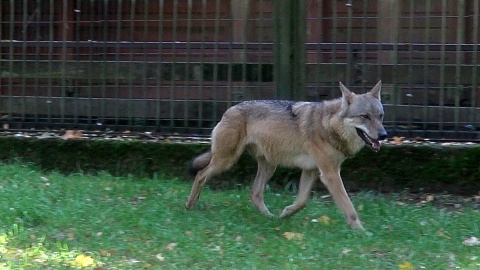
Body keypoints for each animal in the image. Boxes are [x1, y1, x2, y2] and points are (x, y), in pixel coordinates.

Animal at [185, 81, 386, 229]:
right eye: (365, 116)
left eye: (380, 116)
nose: (384, 135)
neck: (329, 125)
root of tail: (228, 110)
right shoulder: (330, 174)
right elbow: (349, 207)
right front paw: (361, 232)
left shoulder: (312, 171)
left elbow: (302, 201)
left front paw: (286, 213)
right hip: (226, 161)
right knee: (201, 174)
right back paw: (190, 206)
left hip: (268, 167)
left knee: (254, 193)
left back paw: (270, 218)